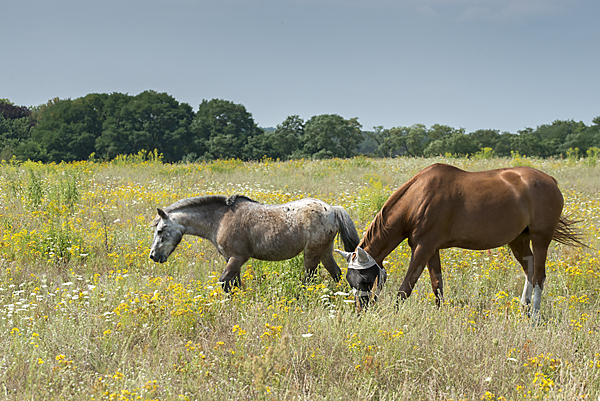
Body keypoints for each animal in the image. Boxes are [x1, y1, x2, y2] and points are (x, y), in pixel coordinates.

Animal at [336, 162, 584, 312]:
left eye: (366, 280)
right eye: (350, 280)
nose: (360, 311)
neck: (418, 199)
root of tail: (550, 180)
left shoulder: (423, 248)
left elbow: (405, 288)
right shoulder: (431, 249)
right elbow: (437, 285)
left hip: (541, 239)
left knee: (539, 276)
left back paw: (534, 316)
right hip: (518, 240)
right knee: (530, 272)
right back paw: (524, 308)